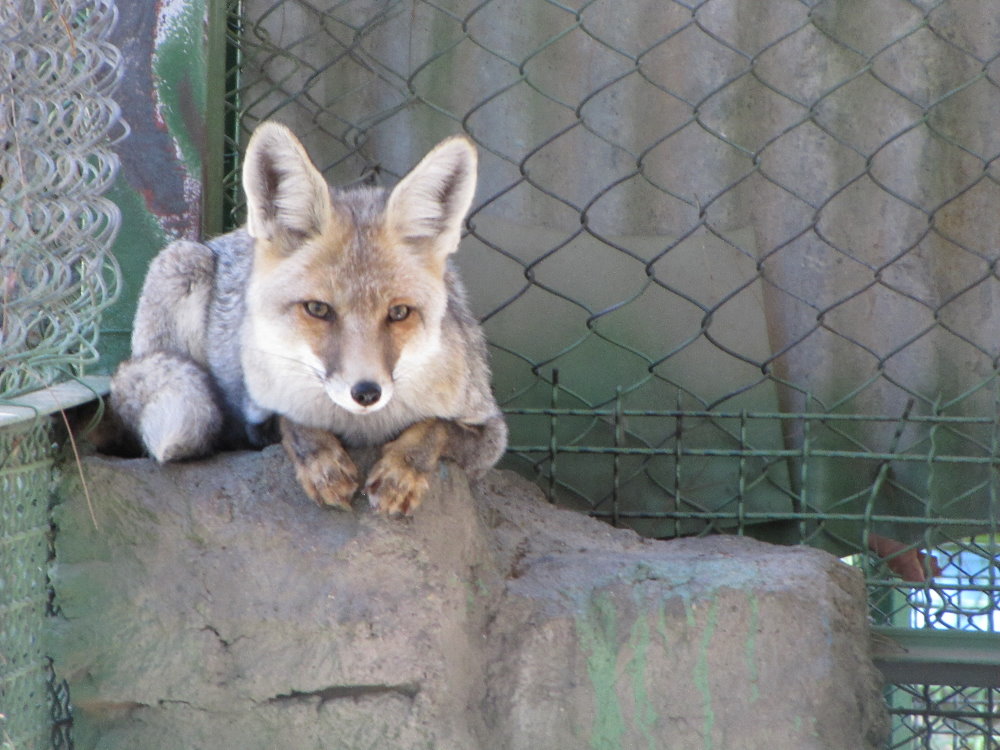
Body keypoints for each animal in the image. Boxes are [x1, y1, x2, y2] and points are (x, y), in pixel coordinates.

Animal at [107, 122, 507, 516]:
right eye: (318, 309)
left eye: (398, 313)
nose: (366, 393)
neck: (360, 427)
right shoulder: (259, 418)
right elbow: (293, 422)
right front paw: (323, 464)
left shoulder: (490, 435)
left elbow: (434, 426)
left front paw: (402, 473)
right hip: (183, 265)